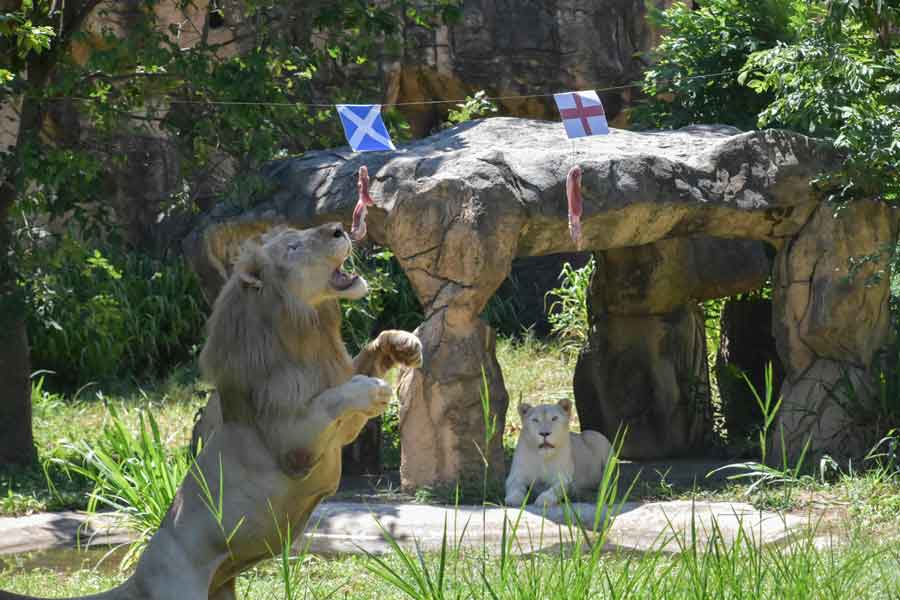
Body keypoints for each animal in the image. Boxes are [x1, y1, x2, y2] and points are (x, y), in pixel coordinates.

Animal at [0, 224, 422, 600]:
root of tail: (138, 580)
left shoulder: (335, 432)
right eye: (293, 247)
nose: (338, 229)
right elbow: (332, 398)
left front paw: (404, 344)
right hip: (181, 588)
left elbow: (364, 360)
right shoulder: (294, 448)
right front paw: (373, 389)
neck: (307, 332)